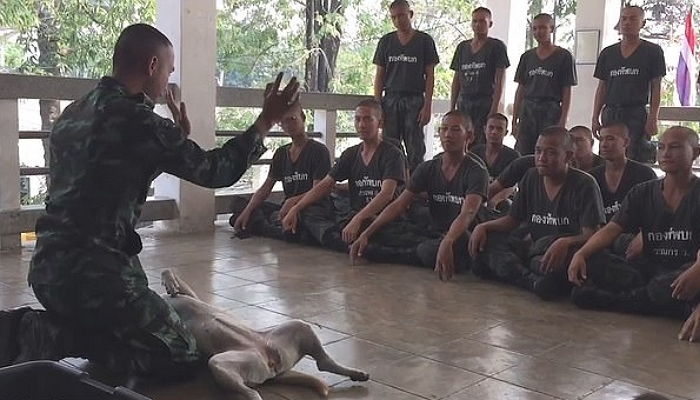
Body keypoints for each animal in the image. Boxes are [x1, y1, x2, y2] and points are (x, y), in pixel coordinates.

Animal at [161, 270, 370, 398]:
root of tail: (272, 362)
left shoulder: (190, 295)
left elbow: (171, 275)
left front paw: (170, 282)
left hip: (292, 330)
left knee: (323, 360)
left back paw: (357, 373)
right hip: (228, 362)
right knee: (251, 391)